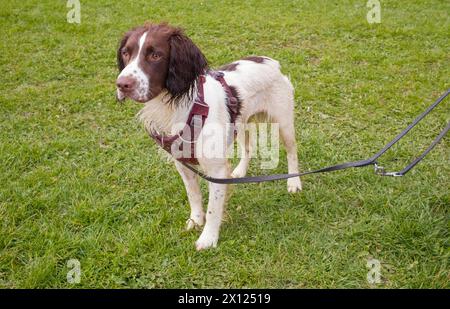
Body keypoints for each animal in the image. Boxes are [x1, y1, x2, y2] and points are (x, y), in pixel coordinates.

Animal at [115, 22, 302, 248]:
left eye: (156, 55)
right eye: (126, 52)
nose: (122, 84)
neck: (181, 108)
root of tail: (271, 61)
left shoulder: (216, 170)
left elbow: (214, 208)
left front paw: (208, 238)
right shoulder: (182, 164)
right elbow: (193, 195)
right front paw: (196, 221)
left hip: (283, 122)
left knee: (292, 151)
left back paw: (294, 183)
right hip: (240, 123)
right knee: (248, 148)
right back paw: (240, 171)